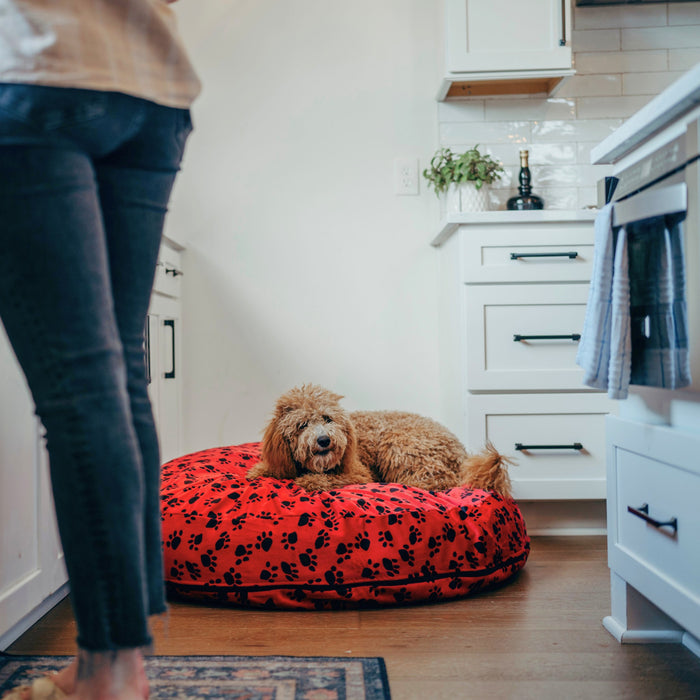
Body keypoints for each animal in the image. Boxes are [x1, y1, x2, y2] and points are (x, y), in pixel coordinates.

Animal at [247, 382, 516, 498]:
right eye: (302, 425)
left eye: (327, 418)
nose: (323, 440)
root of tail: (461, 451)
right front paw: (258, 472)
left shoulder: (358, 473)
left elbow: (329, 479)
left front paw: (311, 481)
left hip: (399, 444)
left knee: (439, 481)